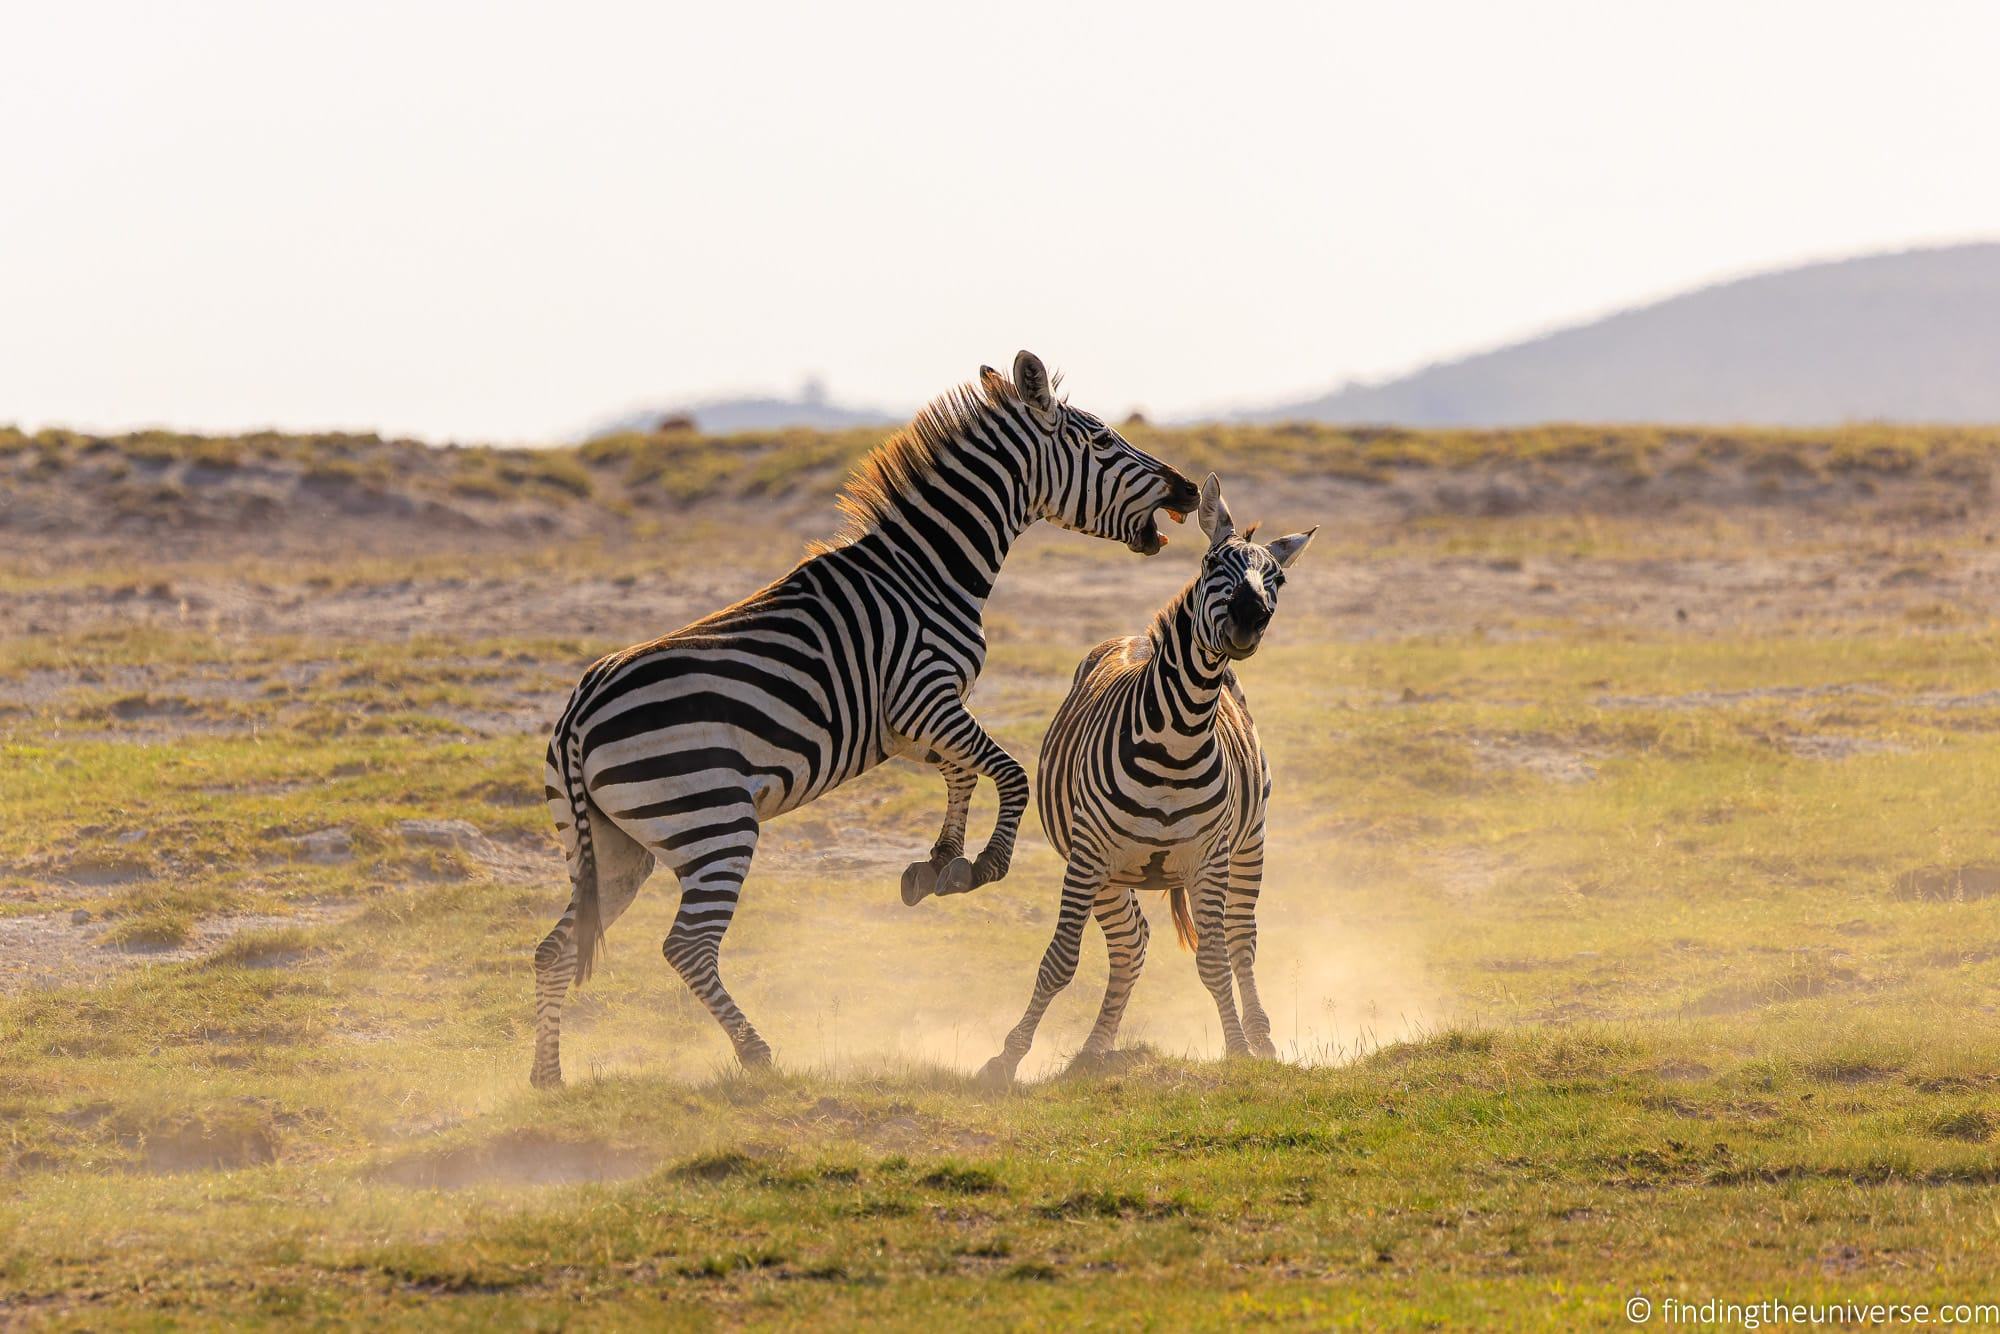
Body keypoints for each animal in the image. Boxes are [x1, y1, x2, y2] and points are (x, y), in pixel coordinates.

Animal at [531, 351, 1201, 1086]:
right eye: (1103, 441)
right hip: (713, 823)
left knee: (555, 948)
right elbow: (1008, 772)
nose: (1192, 490)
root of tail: (578, 713)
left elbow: (963, 773)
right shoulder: (923, 694)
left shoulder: (906, 724)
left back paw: (548, 1078)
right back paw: (756, 1055)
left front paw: (942, 862)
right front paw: (986, 863)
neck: (927, 571)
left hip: (611, 849)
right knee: (686, 947)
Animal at [979, 473, 1315, 1085]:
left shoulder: (1210, 858)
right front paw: (1006, 1058)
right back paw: (1093, 1049)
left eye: (1276, 579)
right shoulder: (1088, 856)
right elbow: (1059, 960)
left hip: (1250, 844)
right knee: (1130, 944)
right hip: (1109, 873)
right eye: (1212, 564)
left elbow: (1214, 960)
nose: (1249, 618)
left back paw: (1260, 1038)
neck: (1177, 739)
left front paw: (1237, 1049)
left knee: (1240, 941)